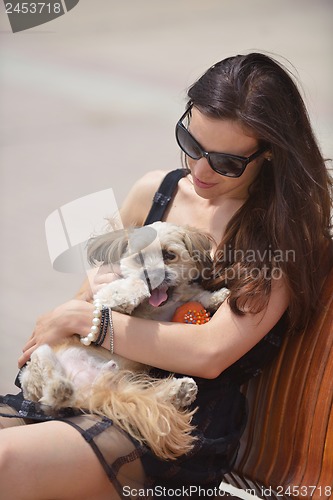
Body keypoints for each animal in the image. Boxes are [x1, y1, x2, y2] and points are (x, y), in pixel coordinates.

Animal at [20, 223, 228, 460]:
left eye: (169, 255)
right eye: (139, 258)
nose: (151, 275)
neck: (160, 307)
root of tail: (88, 393)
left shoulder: (182, 299)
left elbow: (196, 294)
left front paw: (216, 297)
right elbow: (126, 287)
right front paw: (124, 294)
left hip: (122, 381)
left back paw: (180, 390)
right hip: (38, 362)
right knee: (49, 396)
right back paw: (60, 388)